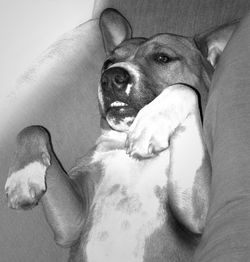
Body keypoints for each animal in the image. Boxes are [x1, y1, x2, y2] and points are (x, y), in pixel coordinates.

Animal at [4, 8, 238, 262]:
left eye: (162, 58)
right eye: (108, 62)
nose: (110, 77)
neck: (123, 137)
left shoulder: (196, 215)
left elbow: (183, 90)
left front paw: (151, 124)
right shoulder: (72, 224)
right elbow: (32, 128)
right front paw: (22, 177)